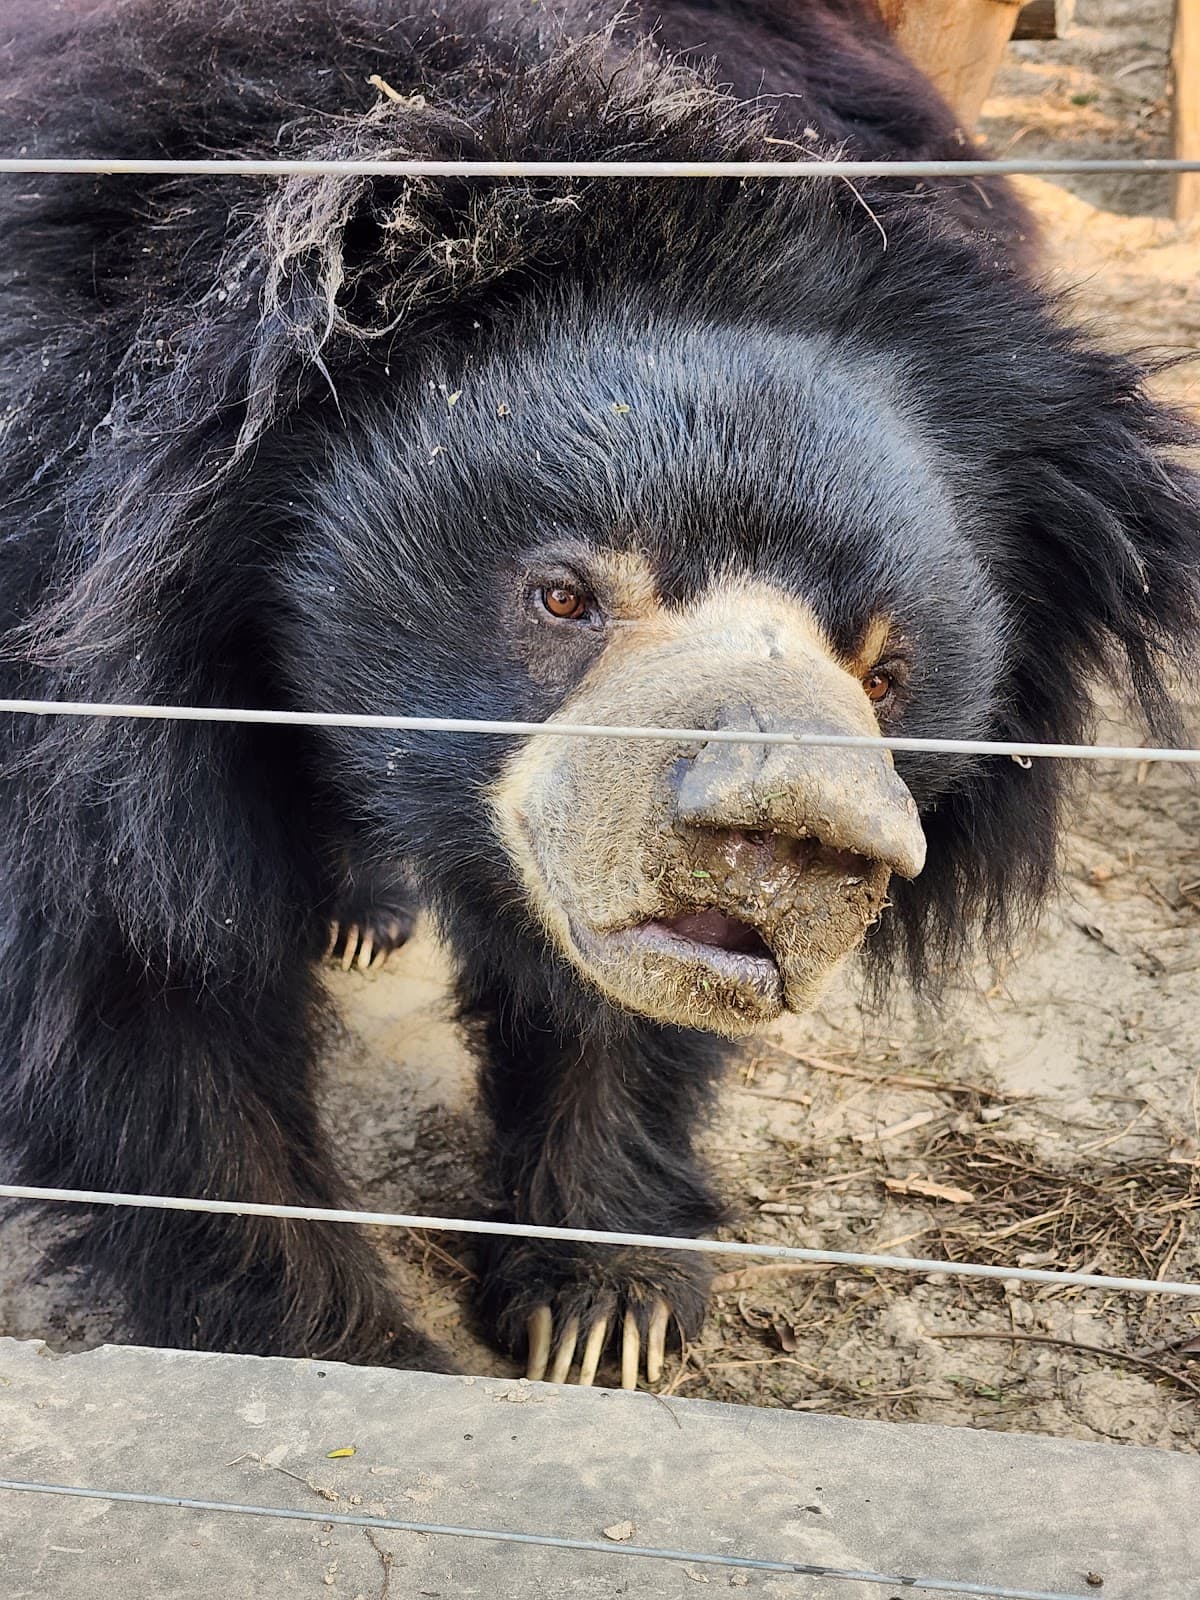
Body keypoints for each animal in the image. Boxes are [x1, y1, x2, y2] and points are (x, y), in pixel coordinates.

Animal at [1, 0, 1198, 1390]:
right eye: (565, 596)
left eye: (887, 671)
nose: (796, 837)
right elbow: (138, 999)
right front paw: (361, 1359)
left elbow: (626, 1016)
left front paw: (602, 1309)